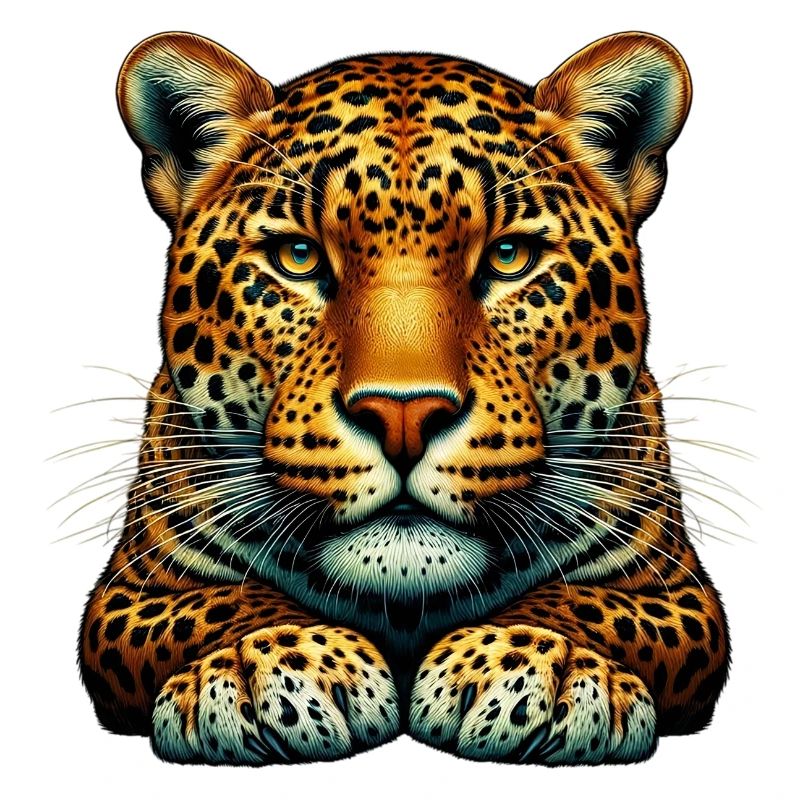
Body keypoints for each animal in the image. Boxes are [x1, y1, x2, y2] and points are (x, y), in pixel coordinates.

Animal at [79, 30, 730, 765]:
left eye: (509, 256)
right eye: (298, 256)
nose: (403, 415)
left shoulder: (675, 590)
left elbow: (585, 602)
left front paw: (535, 667)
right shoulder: (133, 591)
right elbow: (222, 603)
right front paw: (274, 666)